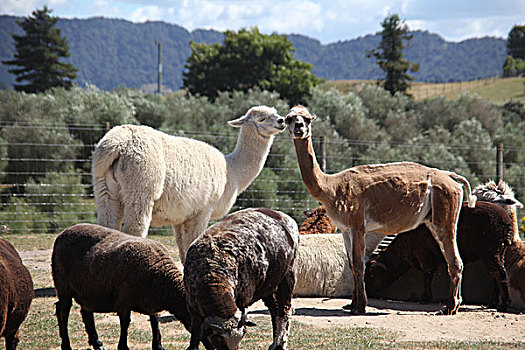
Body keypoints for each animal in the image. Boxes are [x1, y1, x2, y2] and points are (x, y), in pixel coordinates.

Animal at [51, 224, 193, 350]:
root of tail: (63, 233)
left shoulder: (151, 302)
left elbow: (155, 322)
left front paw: (158, 346)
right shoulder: (124, 301)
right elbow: (125, 324)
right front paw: (123, 347)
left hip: (86, 289)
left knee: (86, 312)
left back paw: (97, 343)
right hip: (63, 286)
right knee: (63, 311)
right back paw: (66, 345)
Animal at [92, 106, 284, 262]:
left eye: (275, 113)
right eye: (262, 118)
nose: (282, 121)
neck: (232, 171)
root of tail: (119, 143)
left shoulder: (181, 215)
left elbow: (183, 248)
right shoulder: (203, 208)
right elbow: (194, 241)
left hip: (103, 187)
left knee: (106, 226)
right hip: (141, 183)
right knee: (134, 229)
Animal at [184, 209, 298, 348]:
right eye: (219, 340)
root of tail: (281, 214)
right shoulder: (192, 309)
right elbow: (196, 334)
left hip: (287, 276)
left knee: (284, 311)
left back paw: (280, 344)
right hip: (269, 286)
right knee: (274, 310)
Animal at [364, 202, 512, 312]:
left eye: (371, 275)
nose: (367, 292)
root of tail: (507, 224)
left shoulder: (424, 255)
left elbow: (427, 275)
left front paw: (425, 298)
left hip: (491, 251)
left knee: (500, 273)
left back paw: (502, 305)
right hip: (499, 251)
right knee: (496, 274)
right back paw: (493, 302)